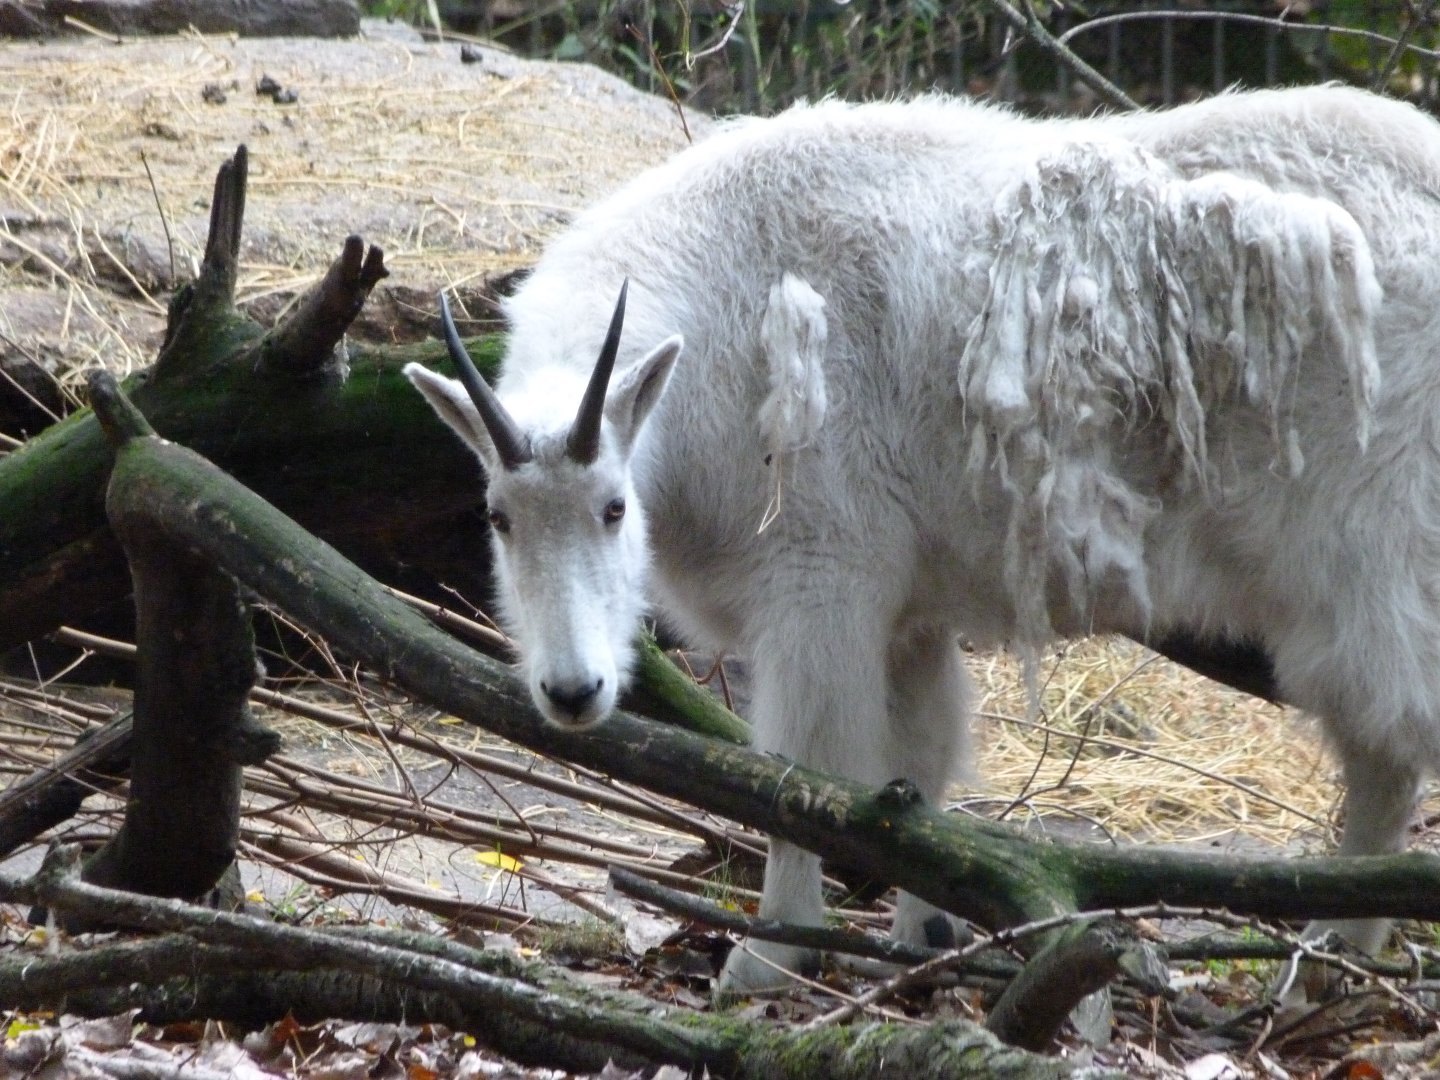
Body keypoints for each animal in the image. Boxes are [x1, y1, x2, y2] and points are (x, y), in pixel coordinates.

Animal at [405, 85, 1440, 995]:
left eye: (614, 508)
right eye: (500, 516)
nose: (573, 692)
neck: (721, 331)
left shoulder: (820, 579)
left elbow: (805, 770)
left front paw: (770, 957)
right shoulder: (908, 616)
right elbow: (916, 770)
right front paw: (924, 939)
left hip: (1372, 552)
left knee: (1391, 740)